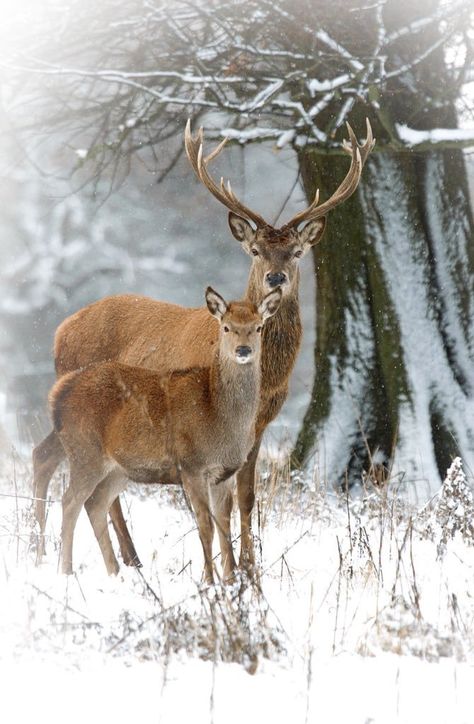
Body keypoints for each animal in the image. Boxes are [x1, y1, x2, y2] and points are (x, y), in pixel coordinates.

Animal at [50, 286, 280, 580]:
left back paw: (115, 572)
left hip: (118, 468)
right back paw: (66, 571)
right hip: (84, 451)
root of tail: (57, 394)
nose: (243, 349)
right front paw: (209, 581)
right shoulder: (192, 465)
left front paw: (231, 579)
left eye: (258, 327)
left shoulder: (224, 472)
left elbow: (224, 526)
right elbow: (205, 527)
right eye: (226, 327)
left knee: (95, 504)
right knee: (70, 502)